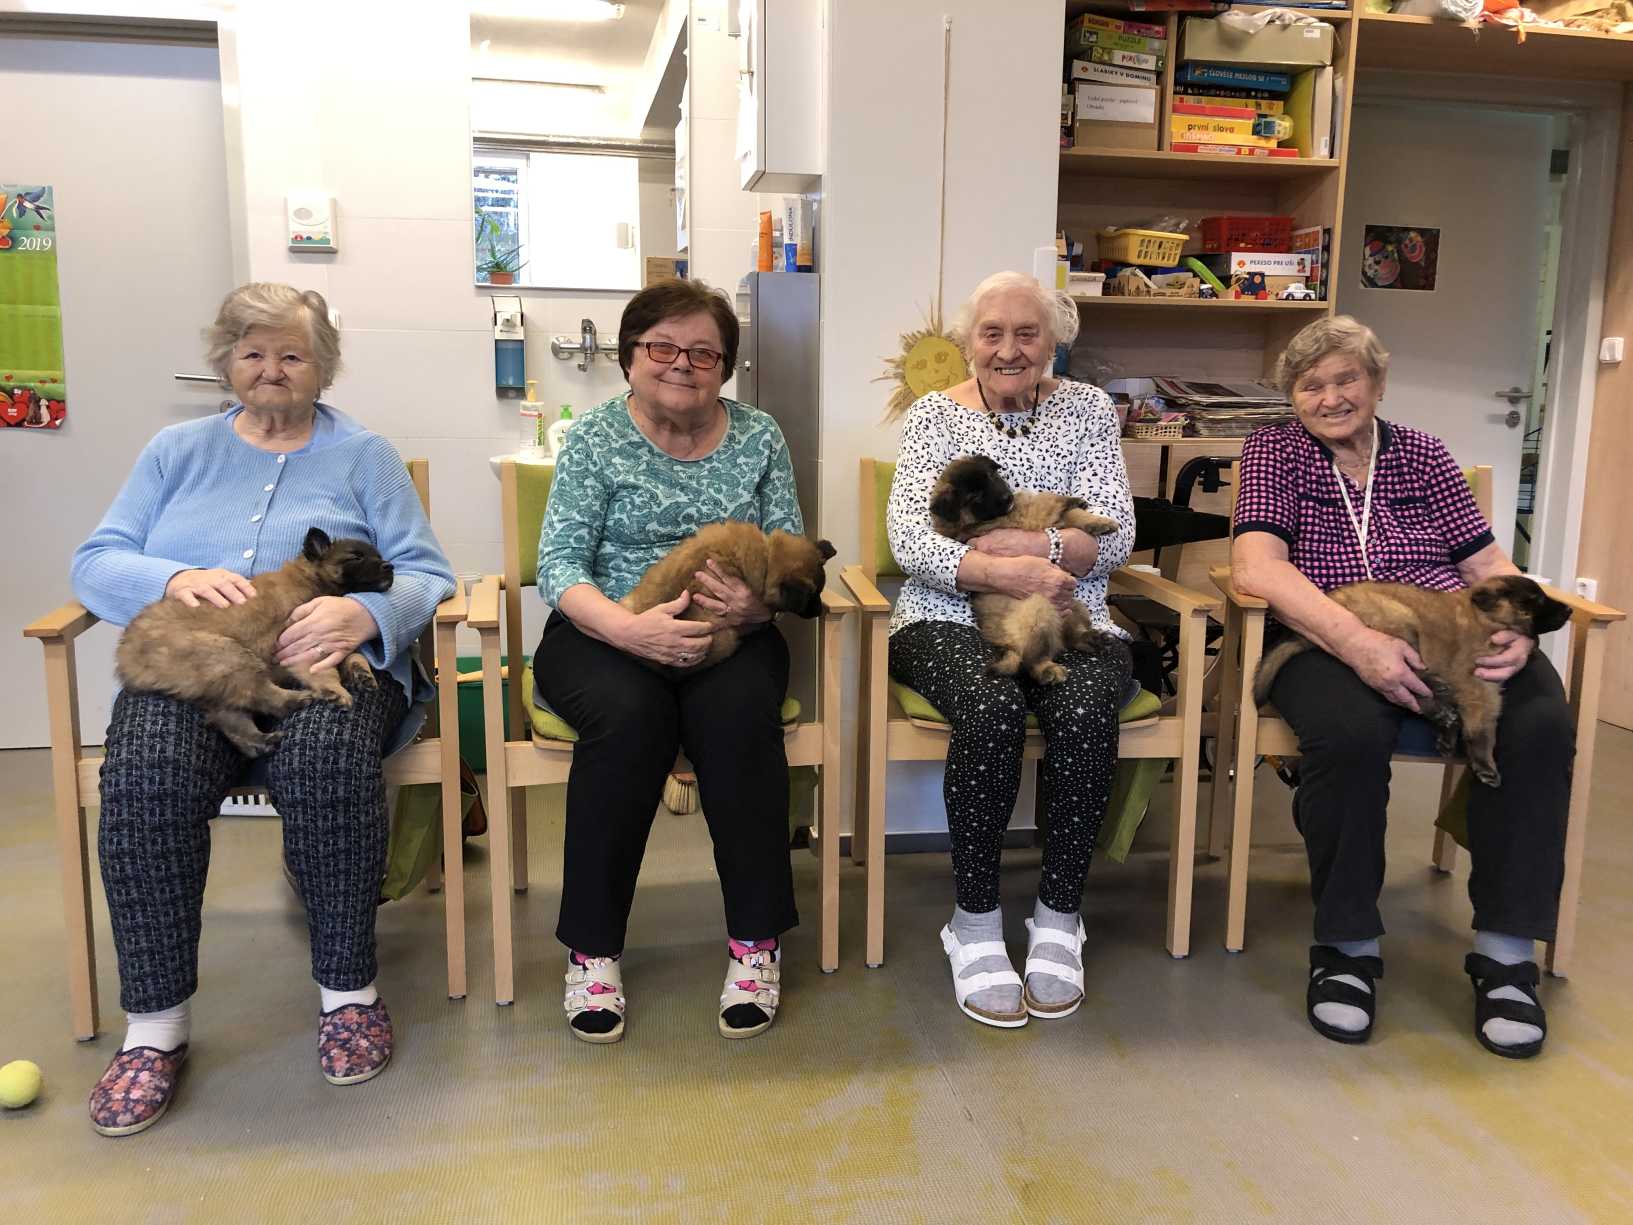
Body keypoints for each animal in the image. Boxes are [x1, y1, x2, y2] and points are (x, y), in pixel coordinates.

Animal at [115, 527, 395, 757]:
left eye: (377, 555)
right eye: (355, 557)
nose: (389, 566)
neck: (311, 578)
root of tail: (126, 655)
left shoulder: (330, 631)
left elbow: (352, 653)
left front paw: (361, 673)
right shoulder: (304, 644)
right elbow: (325, 671)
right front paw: (336, 691)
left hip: (220, 679)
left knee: (233, 718)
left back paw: (262, 741)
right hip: (227, 655)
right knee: (262, 695)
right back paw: (298, 700)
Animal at [928, 454, 1121, 685]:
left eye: (991, 476)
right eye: (974, 495)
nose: (1006, 497)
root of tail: (1009, 645)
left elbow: (1071, 515)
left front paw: (1094, 518)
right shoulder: (1027, 516)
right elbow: (1046, 502)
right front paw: (1086, 512)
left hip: (1074, 607)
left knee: (1071, 637)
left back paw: (1094, 638)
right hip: (1039, 608)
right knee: (1031, 660)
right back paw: (1048, 670)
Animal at [1251, 574, 1572, 787]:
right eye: (1536, 601)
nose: (1569, 609)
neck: (1484, 619)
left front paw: (1448, 736)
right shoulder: (1480, 691)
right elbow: (1481, 734)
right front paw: (1485, 766)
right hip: (1399, 624)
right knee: (1408, 676)